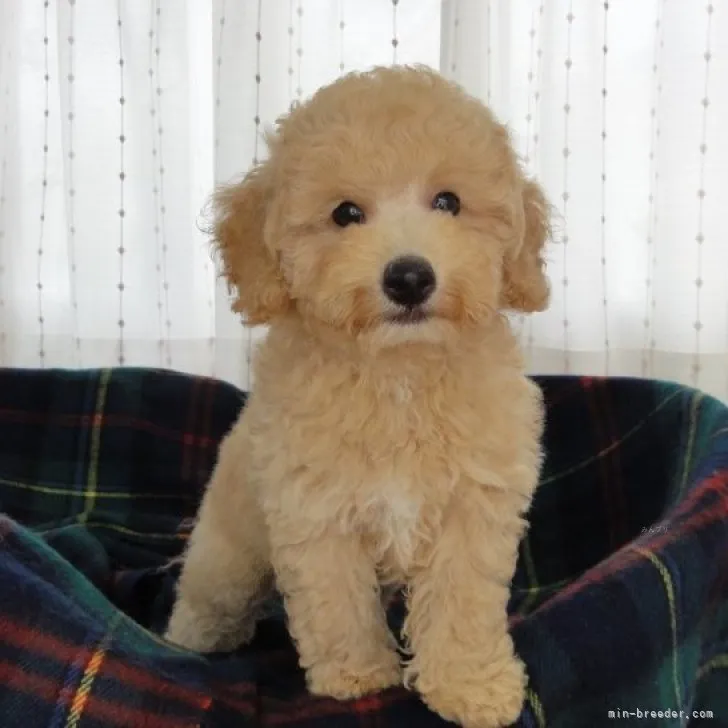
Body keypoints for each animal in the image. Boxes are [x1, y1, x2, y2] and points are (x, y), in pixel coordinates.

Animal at [166, 64, 552, 728]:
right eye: (345, 213)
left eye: (448, 202)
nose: (409, 276)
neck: (398, 374)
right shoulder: (314, 511)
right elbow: (336, 600)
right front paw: (357, 676)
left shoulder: (472, 507)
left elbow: (462, 602)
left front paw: (471, 687)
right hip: (228, 553)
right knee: (208, 596)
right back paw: (188, 640)